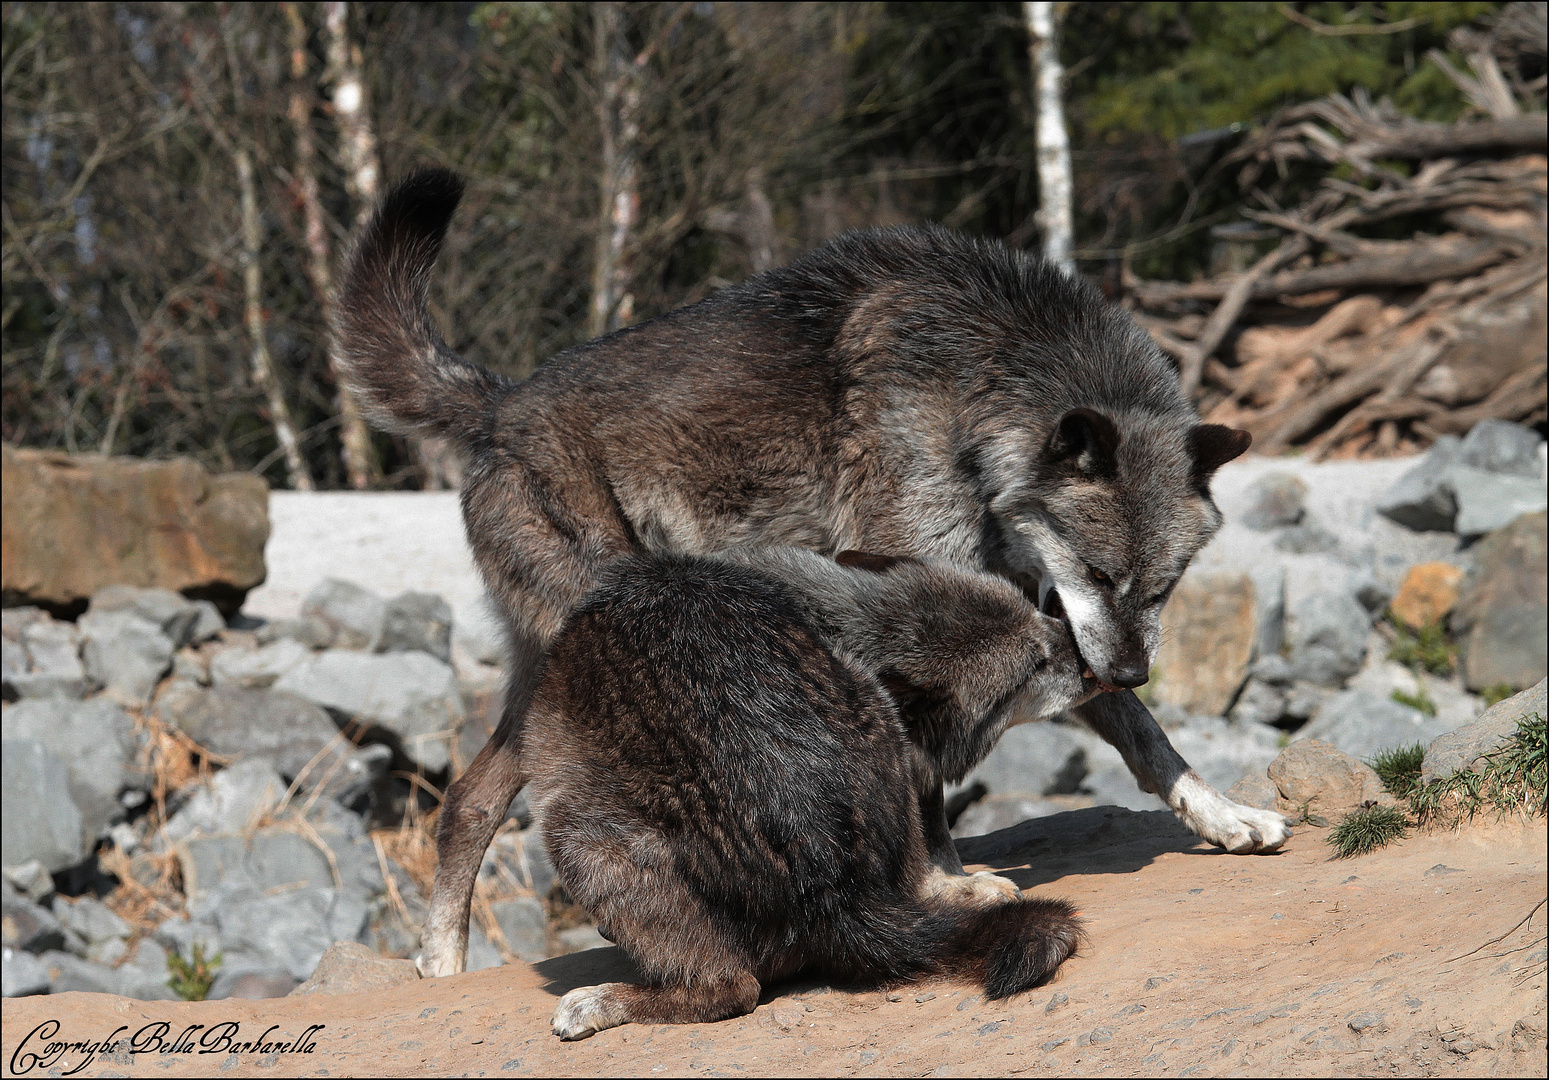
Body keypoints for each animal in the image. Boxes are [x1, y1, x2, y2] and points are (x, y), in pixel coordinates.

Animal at [336, 166, 1294, 979]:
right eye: (1097, 569)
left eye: (1164, 586)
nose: (1132, 668)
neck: (977, 388)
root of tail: (498, 405)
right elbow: (926, 782)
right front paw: (945, 883)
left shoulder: (1042, 622)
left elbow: (1145, 738)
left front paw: (1223, 814)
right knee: (483, 802)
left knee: (465, 799)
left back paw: (442, 967)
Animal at [529, 548, 1090, 1035]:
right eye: (1035, 664)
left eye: (1039, 618)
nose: (1093, 661)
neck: (853, 626)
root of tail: (834, 881)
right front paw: (963, 885)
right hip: (877, 717)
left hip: (574, 832)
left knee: (732, 989)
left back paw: (607, 1001)